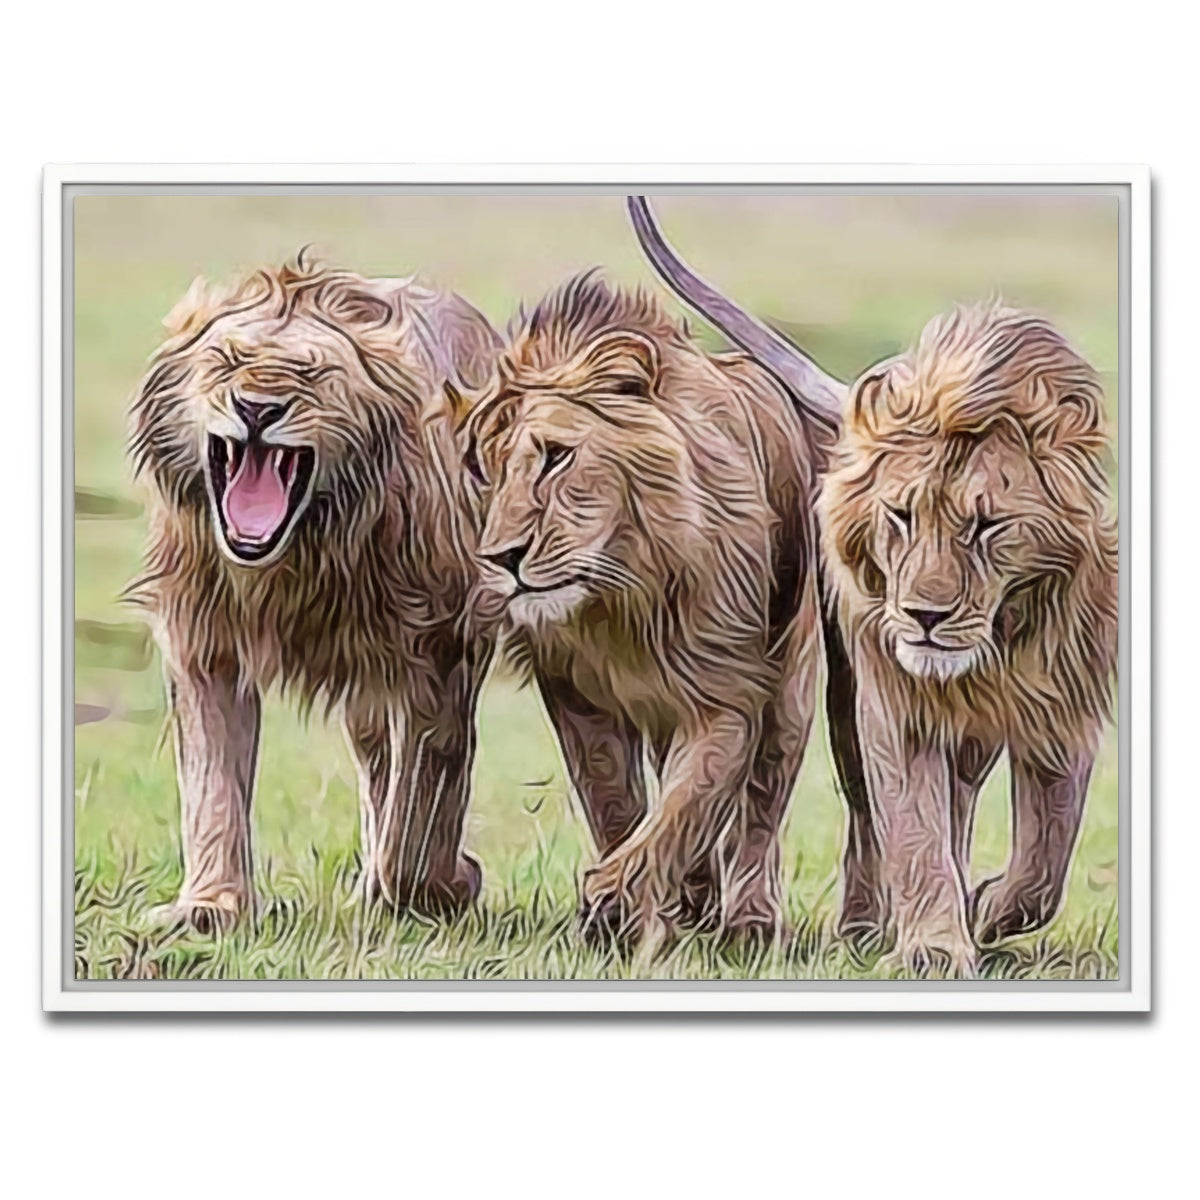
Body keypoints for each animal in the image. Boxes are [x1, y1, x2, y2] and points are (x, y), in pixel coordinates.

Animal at [127, 255, 502, 931]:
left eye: (312, 372)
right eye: (227, 359)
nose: (255, 409)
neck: (297, 557)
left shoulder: (440, 650)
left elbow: (424, 801)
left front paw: (444, 885)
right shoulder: (204, 642)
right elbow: (211, 781)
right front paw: (209, 905)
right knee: (376, 761)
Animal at [462, 272, 829, 948]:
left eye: (556, 455)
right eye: (488, 471)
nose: (502, 557)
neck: (623, 594)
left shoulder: (728, 692)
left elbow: (688, 802)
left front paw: (614, 898)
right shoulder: (575, 696)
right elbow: (616, 802)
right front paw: (631, 907)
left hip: (791, 685)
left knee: (763, 803)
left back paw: (750, 921)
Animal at [816, 303, 1118, 974]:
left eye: (987, 525)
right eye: (901, 515)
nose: (924, 616)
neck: (997, 645)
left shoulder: (1065, 703)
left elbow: (1044, 861)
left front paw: (983, 910)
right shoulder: (896, 704)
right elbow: (913, 827)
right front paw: (932, 946)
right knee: (870, 817)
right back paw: (864, 927)